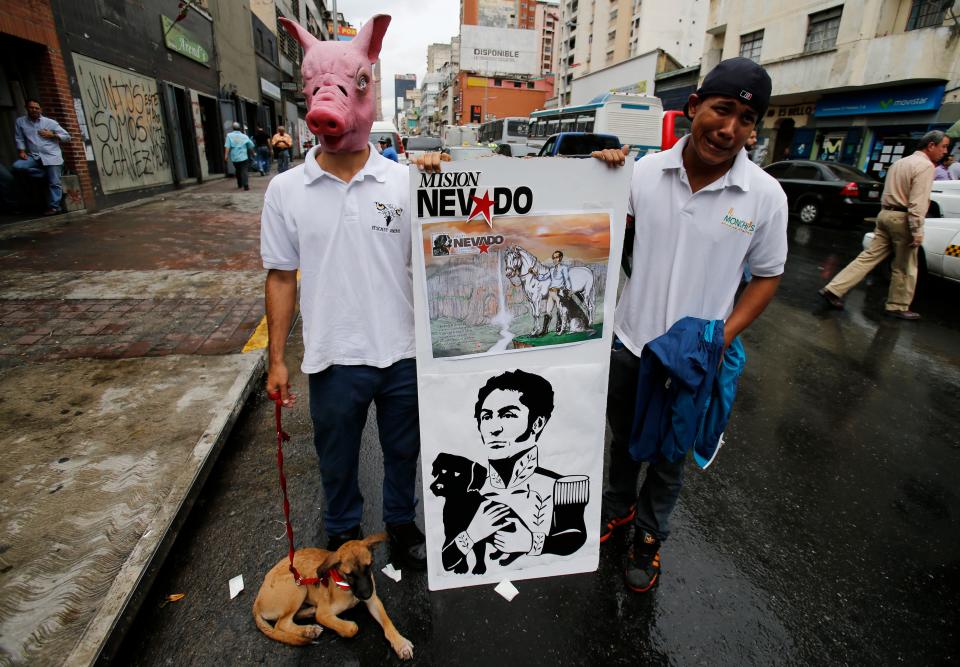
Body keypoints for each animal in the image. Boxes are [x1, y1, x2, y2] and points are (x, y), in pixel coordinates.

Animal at [251, 536, 412, 660]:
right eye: (349, 574)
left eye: (369, 565)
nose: (366, 594)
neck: (345, 586)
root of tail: (256, 602)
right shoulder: (323, 614)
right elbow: (352, 628)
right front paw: (343, 628)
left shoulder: (373, 601)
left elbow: (387, 622)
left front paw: (401, 644)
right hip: (297, 585)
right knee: (281, 624)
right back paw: (308, 629)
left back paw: (309, 622)